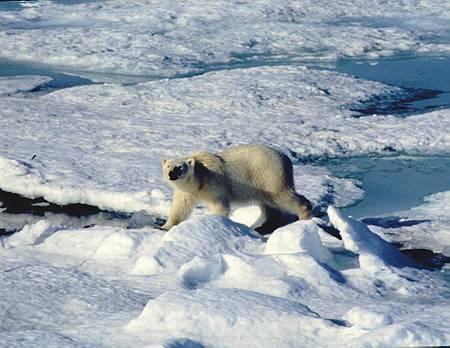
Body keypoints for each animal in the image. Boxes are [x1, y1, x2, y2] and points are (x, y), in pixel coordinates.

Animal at [162, 144, 312, 231]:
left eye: (179, 167)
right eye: (168, 166)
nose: (171, 174)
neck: (200, 176)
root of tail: (286, 158)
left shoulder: (214, 183)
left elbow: (219, 205)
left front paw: (215, 220)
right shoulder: (187, 191)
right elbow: (180, 207)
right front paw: (165, 226)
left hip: (269, 176)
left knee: (282, 196)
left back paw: (304, 215)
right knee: (269, 204)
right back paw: (263, 226)